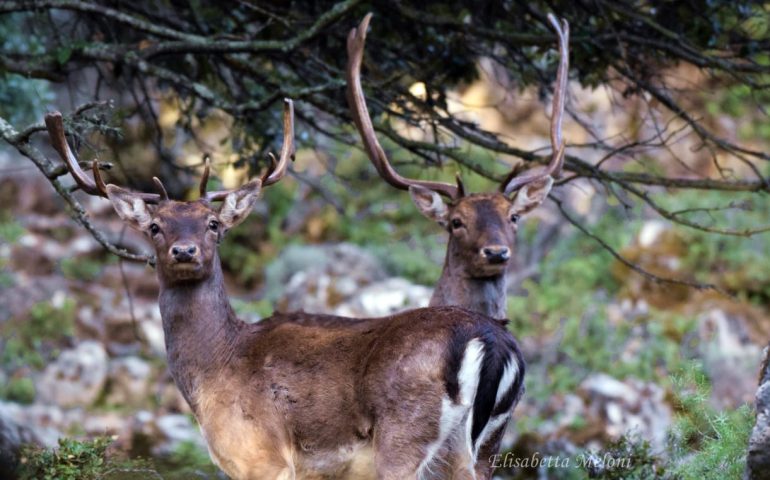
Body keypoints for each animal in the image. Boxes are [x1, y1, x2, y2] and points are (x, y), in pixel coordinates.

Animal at [45, 97, 524, 480]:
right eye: (155, 227)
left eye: (213, 224)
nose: (184, 251)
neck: (214, 367)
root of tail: (492, 342)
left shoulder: (260, 456)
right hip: (484, 445)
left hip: (404, 435)